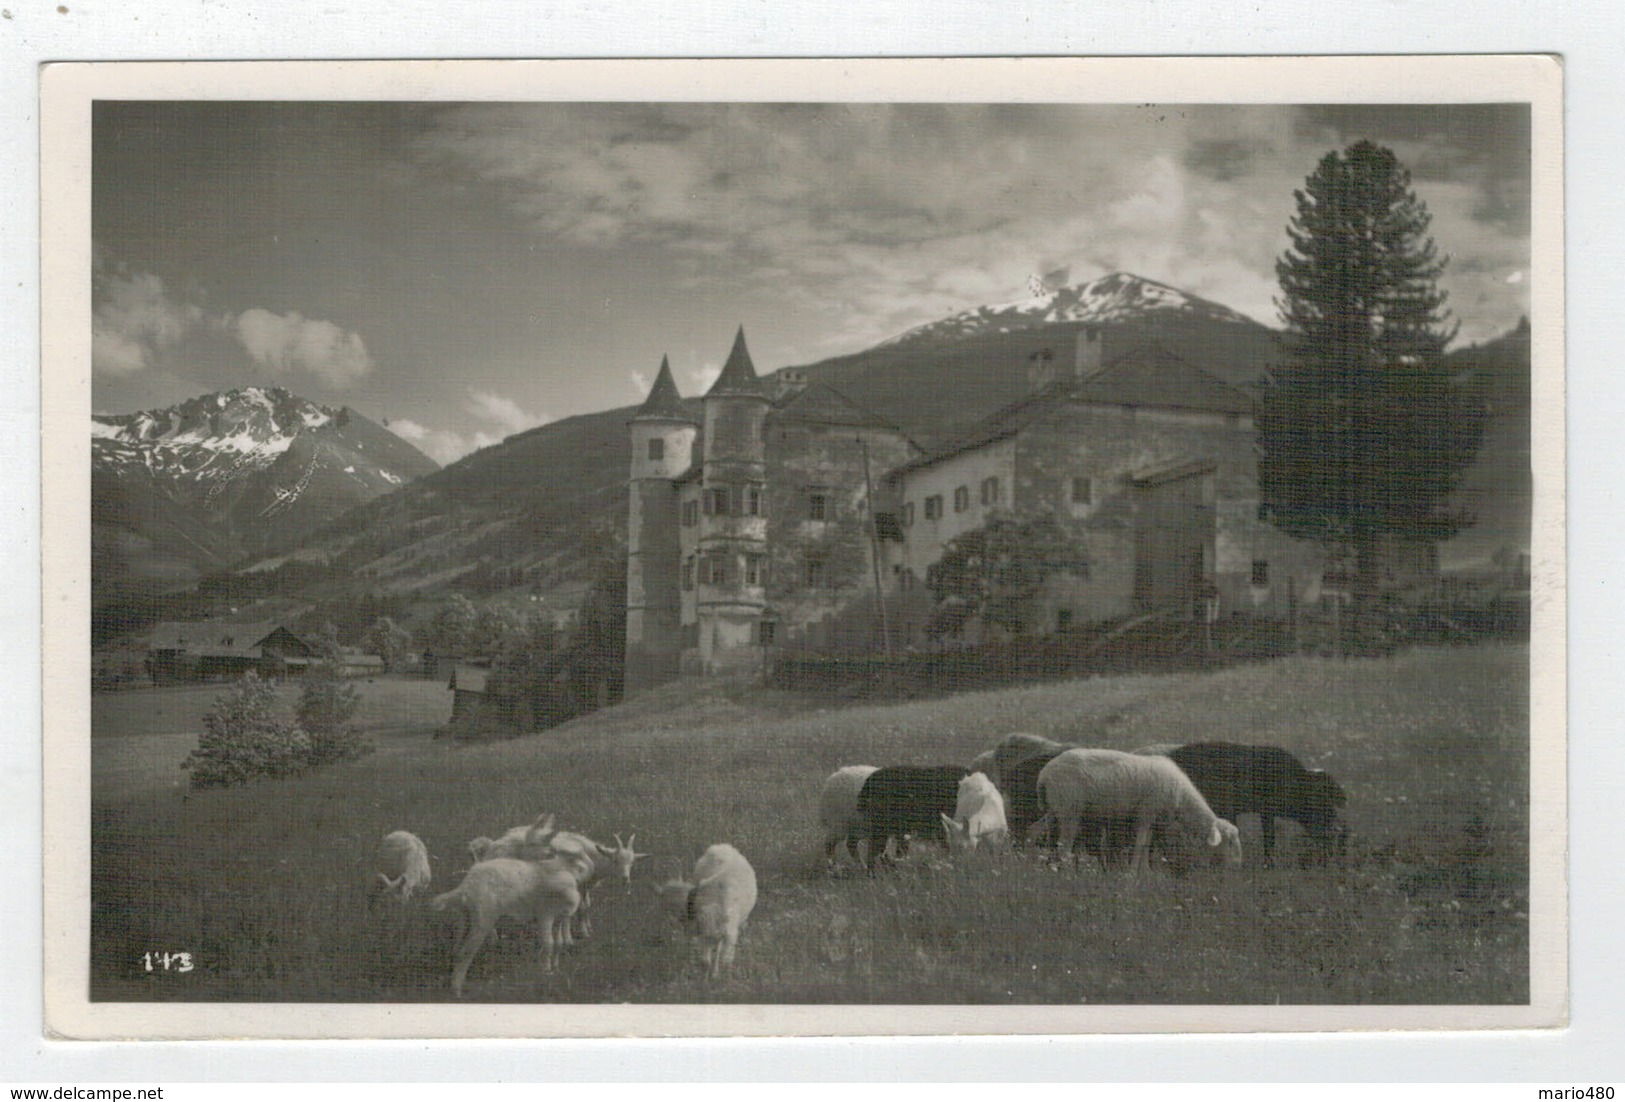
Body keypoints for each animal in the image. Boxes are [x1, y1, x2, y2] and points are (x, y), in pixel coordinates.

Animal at [425, 851, 591, 994]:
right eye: (580, 867)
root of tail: (466, 887)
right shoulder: (545, 915)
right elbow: (548, 944)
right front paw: (546, 972)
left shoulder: (558, 918)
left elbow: (558, 944)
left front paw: (555, 968)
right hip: (483, 919)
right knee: (466, 951)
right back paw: (457, 989)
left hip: (465, 918)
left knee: (458, 948)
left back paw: (454, 980)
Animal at [653, 845, 760, 981]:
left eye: (666, 904)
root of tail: (723, 845)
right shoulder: (704, 932)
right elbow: (705, 962)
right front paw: (705, 980)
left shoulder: (730, 934)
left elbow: (726, 960)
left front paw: (726, 980)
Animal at [1033, 747, 1235, 877]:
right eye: (1230, 843)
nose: (1233, 869)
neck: (1181, 796)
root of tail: (1044, 774)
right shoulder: (1146, 813)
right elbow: (1140, 844)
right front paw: (1132, 873)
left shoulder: (1152, 818)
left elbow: (1146, 844)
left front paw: (1146, 872)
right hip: (1069, 809)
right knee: (1064, 847)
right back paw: (1067, 874)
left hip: (1053, 809)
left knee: (1037, 832)